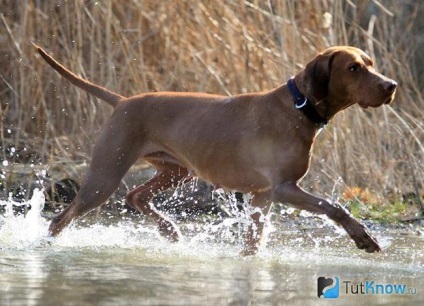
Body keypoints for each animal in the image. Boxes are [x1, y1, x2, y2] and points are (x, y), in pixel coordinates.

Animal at [34, 42, 398, 253]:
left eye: (371, 62)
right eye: (353, 68)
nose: (391, 85)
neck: (299, 107)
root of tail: (123, 101)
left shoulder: (262, 195)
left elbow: (253, 244)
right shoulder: (283, 188)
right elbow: (335, 207)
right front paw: (363, 237)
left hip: (178, 170)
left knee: (135, 195)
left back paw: (169, 230)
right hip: (105, 176)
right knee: (61, 219)